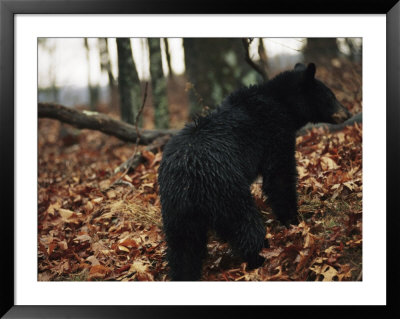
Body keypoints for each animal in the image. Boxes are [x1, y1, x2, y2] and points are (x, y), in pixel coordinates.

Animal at [158, 63, 352, 282]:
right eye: (330, 96)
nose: (347, 113)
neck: (281, 103)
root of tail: (185, 179)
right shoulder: (274, 133)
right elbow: (279, 176)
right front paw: (293, 219)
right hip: (225, 190)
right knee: (245, 226)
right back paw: (261, 257)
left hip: (176, 211)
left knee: (183, 248)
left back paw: (184, 273)